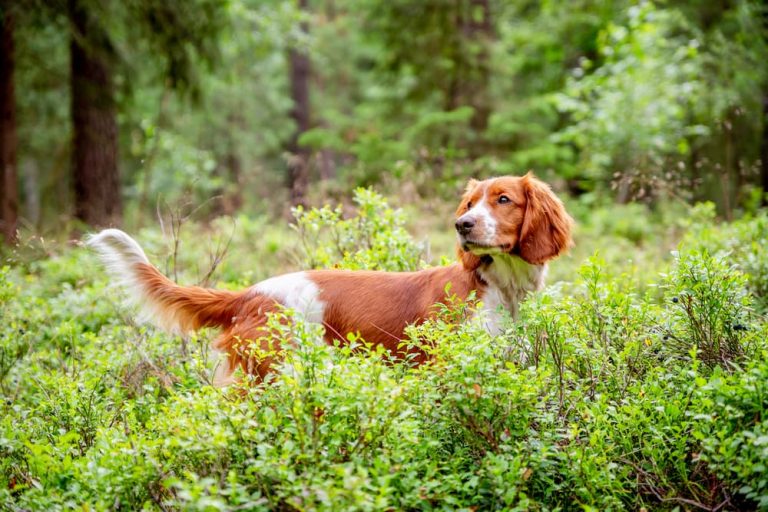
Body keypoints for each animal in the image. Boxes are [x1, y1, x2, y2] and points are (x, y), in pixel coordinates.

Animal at [88, 174, 568, 382]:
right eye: (470, 203)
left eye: (503, 199)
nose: (463, 225)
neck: (499, 287)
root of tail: (248, 295)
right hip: (276, 374)